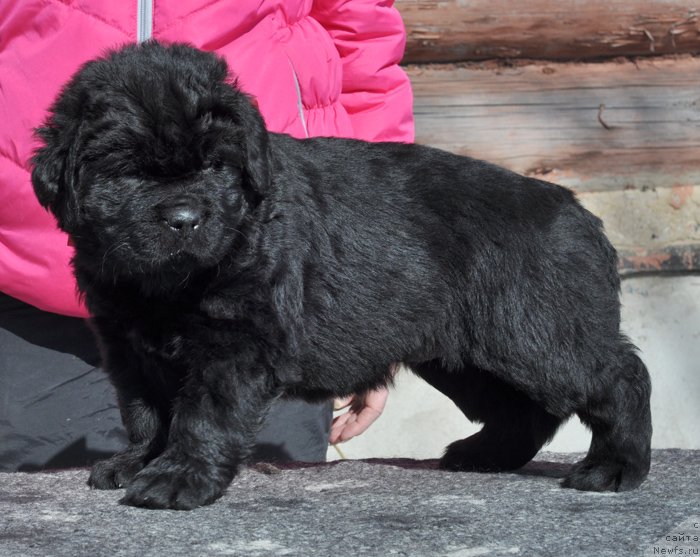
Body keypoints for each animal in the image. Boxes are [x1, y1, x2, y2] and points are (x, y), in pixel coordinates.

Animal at [30, 41, 652, 506]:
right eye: (130, 170)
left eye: (215, 166)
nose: (185, 220)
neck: (169, 284)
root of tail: (579, 212)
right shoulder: (128, 344)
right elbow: (144, 411)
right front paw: (136, 462)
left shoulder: (236, 341)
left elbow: (201, 413)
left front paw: (177, 479)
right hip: (466, 355)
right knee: (525, 409)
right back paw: (484, 456)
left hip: (536, 332)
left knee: (619, 376)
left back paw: (614, 469)